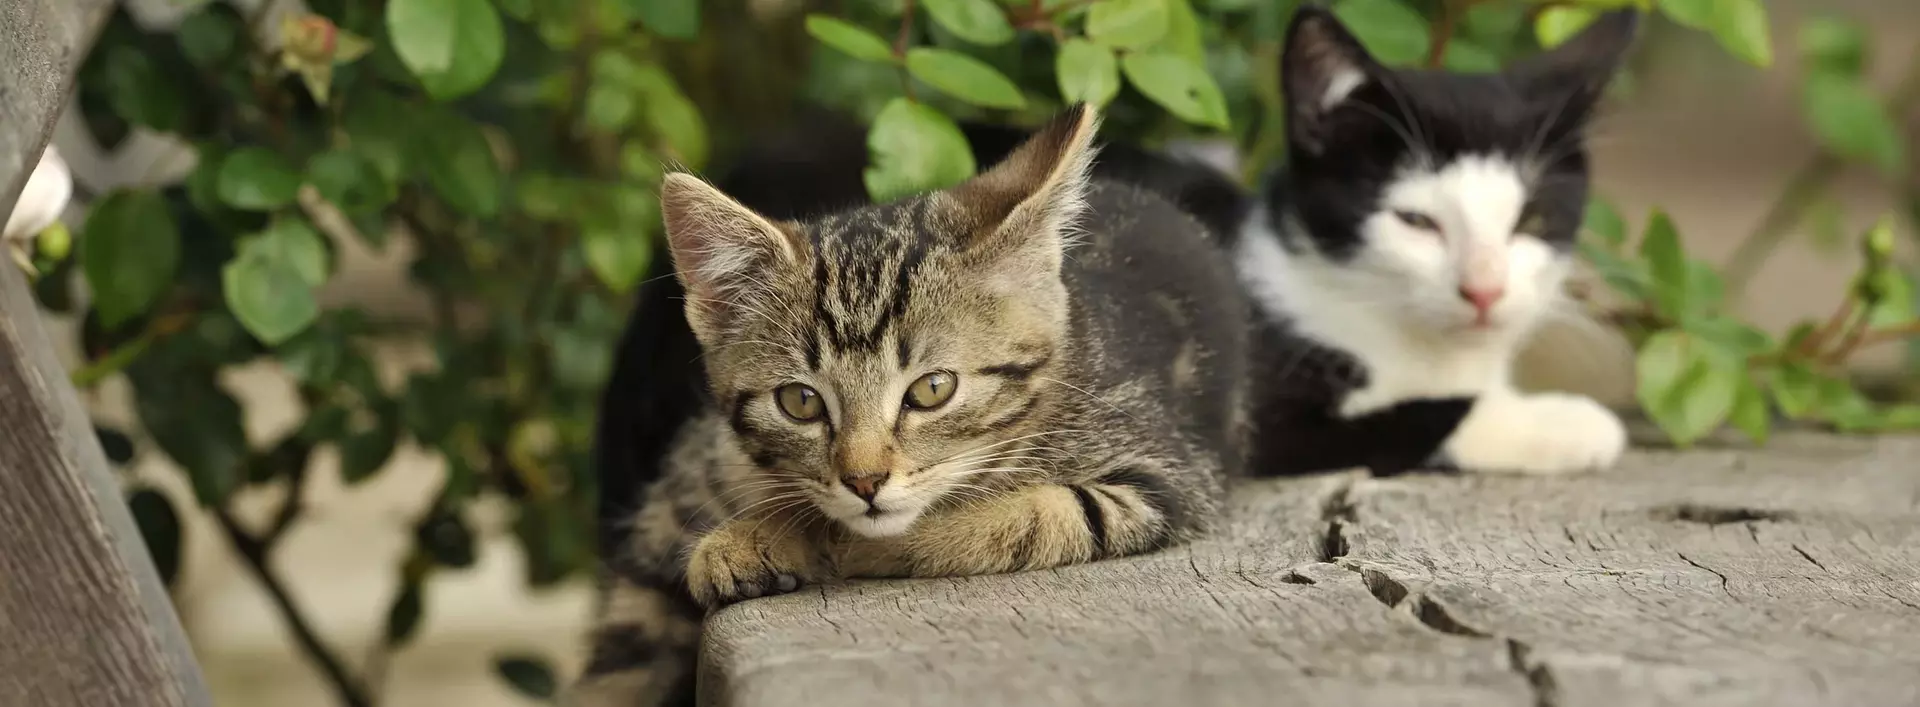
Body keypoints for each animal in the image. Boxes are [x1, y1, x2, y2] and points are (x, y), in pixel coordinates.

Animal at [568, 106, 1251, 707]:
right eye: (799, 401)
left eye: (932, 389)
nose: (865, 480)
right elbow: (618, 660)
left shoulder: (1160, 476)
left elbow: (996, 519)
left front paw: (786, 539)